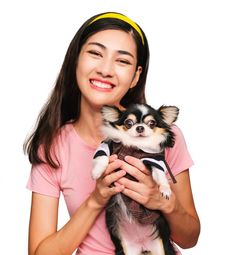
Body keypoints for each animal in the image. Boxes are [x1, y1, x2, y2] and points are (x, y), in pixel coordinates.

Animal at [93, 103, 179, 255]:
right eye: (129, 123)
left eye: (152, 123)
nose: (140, 127)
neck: (134, 146)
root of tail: (142, 244)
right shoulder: (107, 146)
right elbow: (102, 156)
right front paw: (97, 171)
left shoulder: (154, 159)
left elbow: (160, 173)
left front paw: (165, 189)